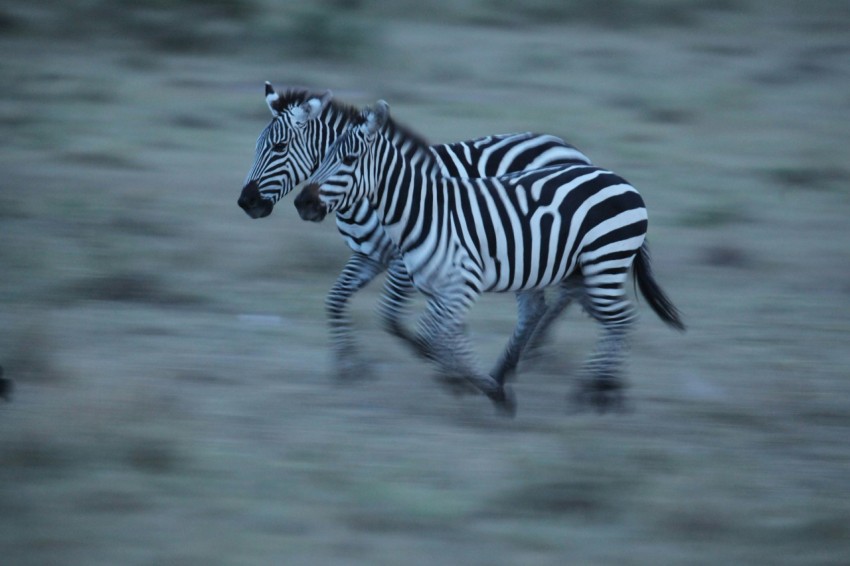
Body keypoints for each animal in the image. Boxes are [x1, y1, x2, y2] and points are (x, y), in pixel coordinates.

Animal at [235, 84, 592, 382]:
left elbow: (390, 318)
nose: (246, 202)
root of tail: (567, 146)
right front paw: (349, 365)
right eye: (257, 147)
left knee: (563, 295)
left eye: (279, 146)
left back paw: (533, 351)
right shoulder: (368, 255)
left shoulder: (404, 262)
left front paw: (440, 357)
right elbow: (335, 300)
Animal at [294, 101, 684, 418]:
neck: (422, 210)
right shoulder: (438, 289)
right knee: (598, 317)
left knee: (619, 319)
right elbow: (444, 338)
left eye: (348, 160)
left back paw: (597, 391)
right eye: (321, 156)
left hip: (604, 262)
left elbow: (435, 337)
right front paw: (476, 383)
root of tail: (617, 178)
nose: (303, 203)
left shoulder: (461, 283)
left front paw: (487, 390)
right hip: (580, 270)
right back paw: (600, 387)